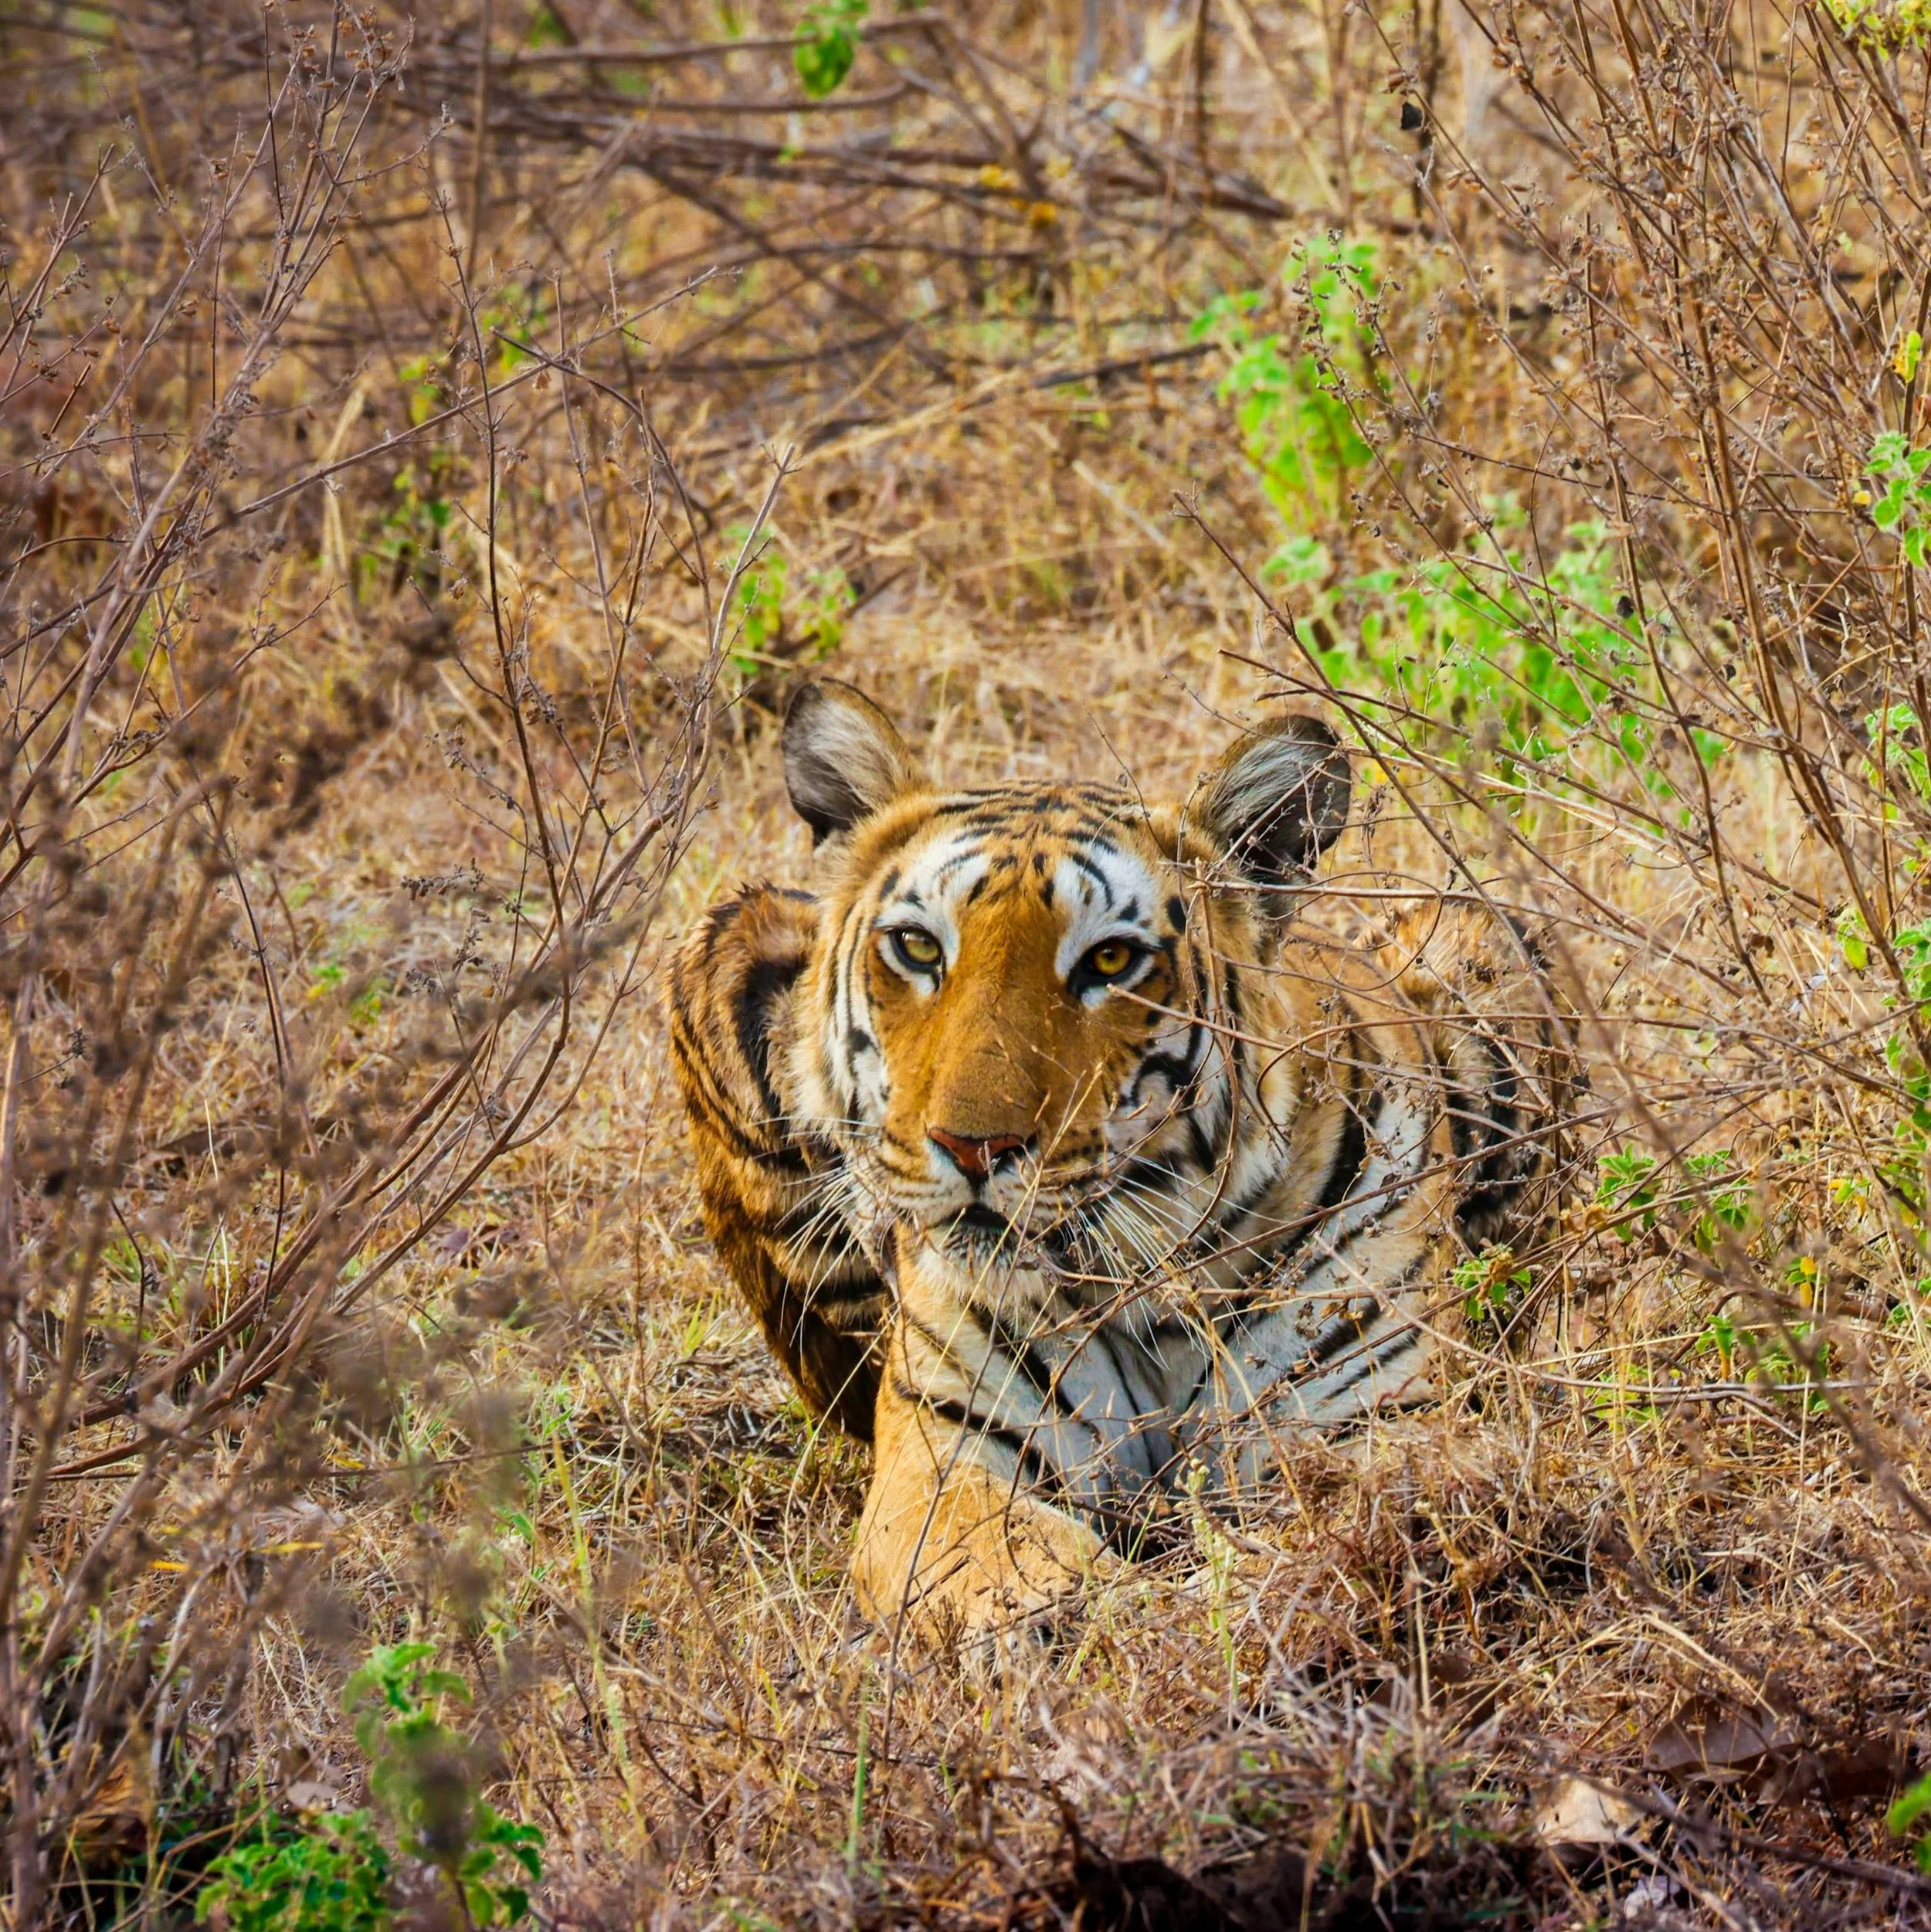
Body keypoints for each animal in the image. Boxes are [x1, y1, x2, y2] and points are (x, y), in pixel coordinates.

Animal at [667, 679, 1579, 1644]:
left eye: (1110, 958)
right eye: (917, 947)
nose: (972, 1147)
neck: (1152, 1289)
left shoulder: (1375, 1427)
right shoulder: (938, 1462)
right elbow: (1019, 1567)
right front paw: (1098, 1614)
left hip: (1475, 927)